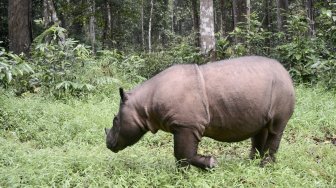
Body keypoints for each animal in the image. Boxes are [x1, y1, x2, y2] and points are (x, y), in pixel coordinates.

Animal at [104, 55, 294, 169]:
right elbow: (184, 154)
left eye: (115, 120)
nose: (108, 144)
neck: (143, 105)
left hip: (282, 88)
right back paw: (251, 163)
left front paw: (194, 170)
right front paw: (210, 164)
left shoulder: (186, 125)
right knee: (260, 128)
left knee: (275, 129)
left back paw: (265, 166)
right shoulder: (187, 125)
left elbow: (182, 154)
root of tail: (287, 73)